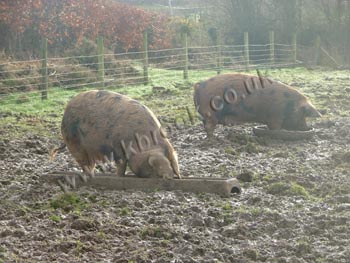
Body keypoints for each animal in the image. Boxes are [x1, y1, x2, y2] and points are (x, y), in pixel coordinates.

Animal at [193, 72, 322, 138]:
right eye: (303, 114)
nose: (306, 128)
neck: (289, 104)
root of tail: (199, 85)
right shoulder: (275, 116)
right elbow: (275, 128)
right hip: (211, 113)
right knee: (209, 127)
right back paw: (213, 138)